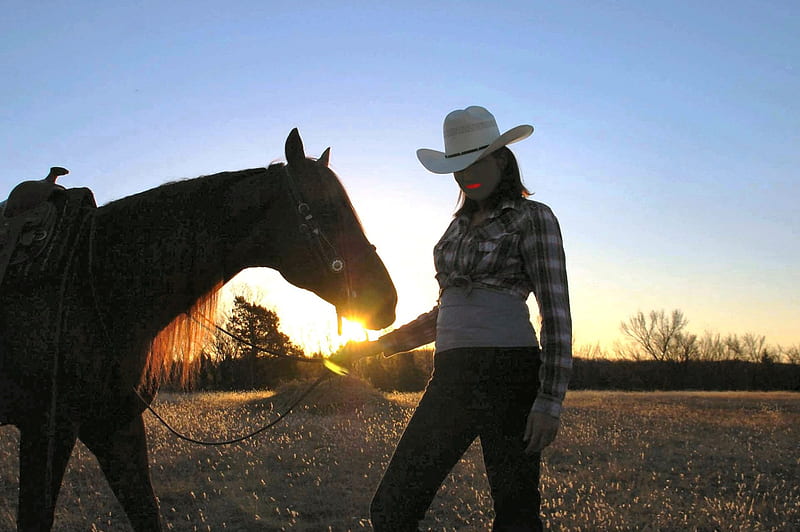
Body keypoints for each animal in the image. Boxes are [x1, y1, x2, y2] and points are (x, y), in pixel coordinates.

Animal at [0, 130, 398, 532]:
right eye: (328, 210)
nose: (388, 300)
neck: (93, 280)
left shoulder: (115, 426)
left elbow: (147, 512)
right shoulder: (47, 428)